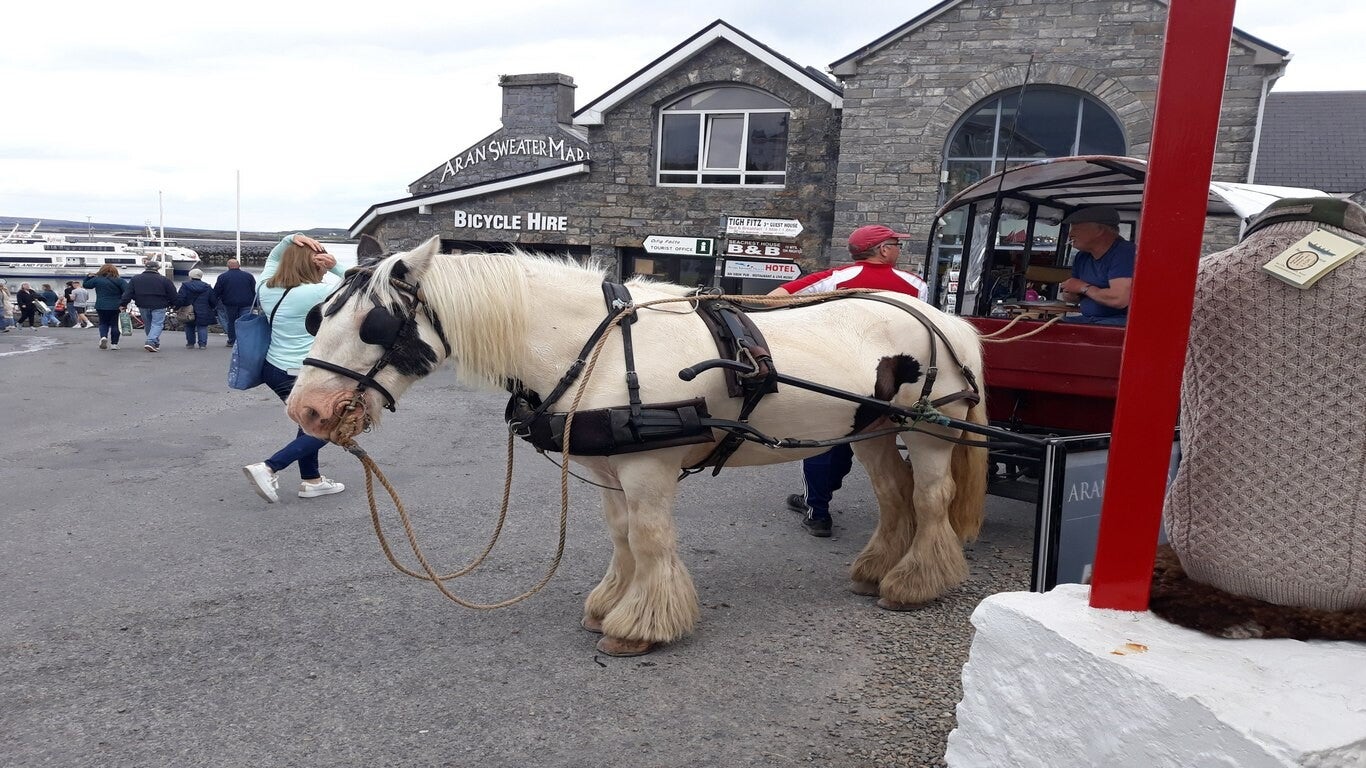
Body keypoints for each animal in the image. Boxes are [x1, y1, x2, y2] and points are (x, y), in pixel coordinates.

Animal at [286, 236, 989, 656]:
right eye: (319, 314)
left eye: (374, 324)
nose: (306, 409)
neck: (589, 345)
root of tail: (946, 319)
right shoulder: (608, 465)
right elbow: (622, 536)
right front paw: (609, 606)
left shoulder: (649, 466)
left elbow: (650, 539)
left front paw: (643, 625)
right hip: (868, 430)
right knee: (894, 494)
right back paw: (877, 571)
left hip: (930, 431)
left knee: (930, 498)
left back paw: (916, 582)